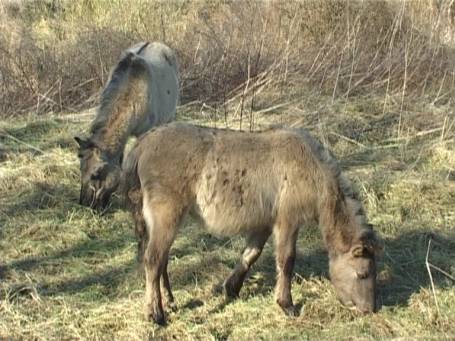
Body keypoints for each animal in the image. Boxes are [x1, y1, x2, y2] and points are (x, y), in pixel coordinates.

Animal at [122, 121, 384, 324]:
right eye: (363, 274)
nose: (369, 309)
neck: (313, 169)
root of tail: (143, 143)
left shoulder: (264, 224)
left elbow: (250, 255)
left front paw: (232, 288)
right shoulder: (287, 221)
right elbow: (286, 260)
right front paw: (286, 304)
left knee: (161, 261)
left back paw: (169, 300)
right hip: (167, 217)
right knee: (153, 260)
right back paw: (156, 313)